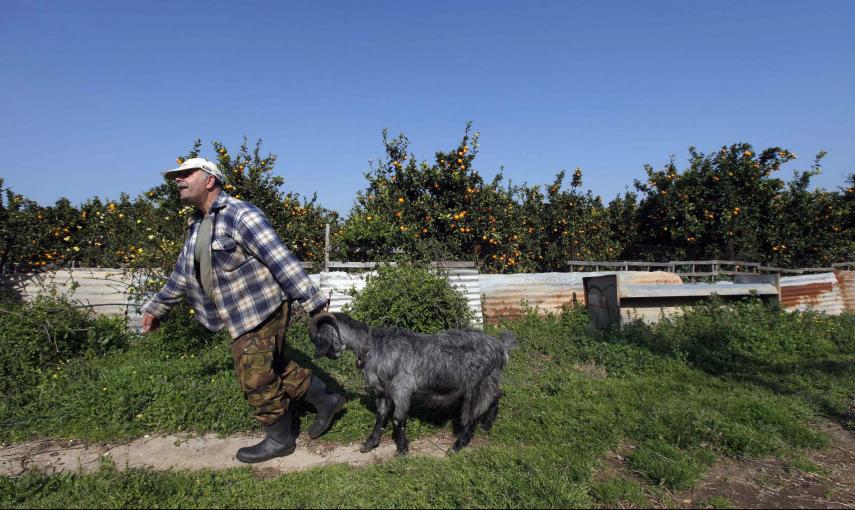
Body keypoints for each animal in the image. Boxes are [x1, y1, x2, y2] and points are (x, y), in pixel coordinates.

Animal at [310, 312, 520, 456]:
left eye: (316, 337)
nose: (316, 355)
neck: (373, 345)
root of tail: (501, 347)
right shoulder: (383, 391)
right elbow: (381, 416)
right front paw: (370, 443)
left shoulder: (401, 389)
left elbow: (398, 419)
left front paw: (402, 450)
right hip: (488, 382)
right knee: (495, 396)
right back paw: (487, 423)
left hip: (478, 384)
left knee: (473, 414)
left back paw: (457, 446)